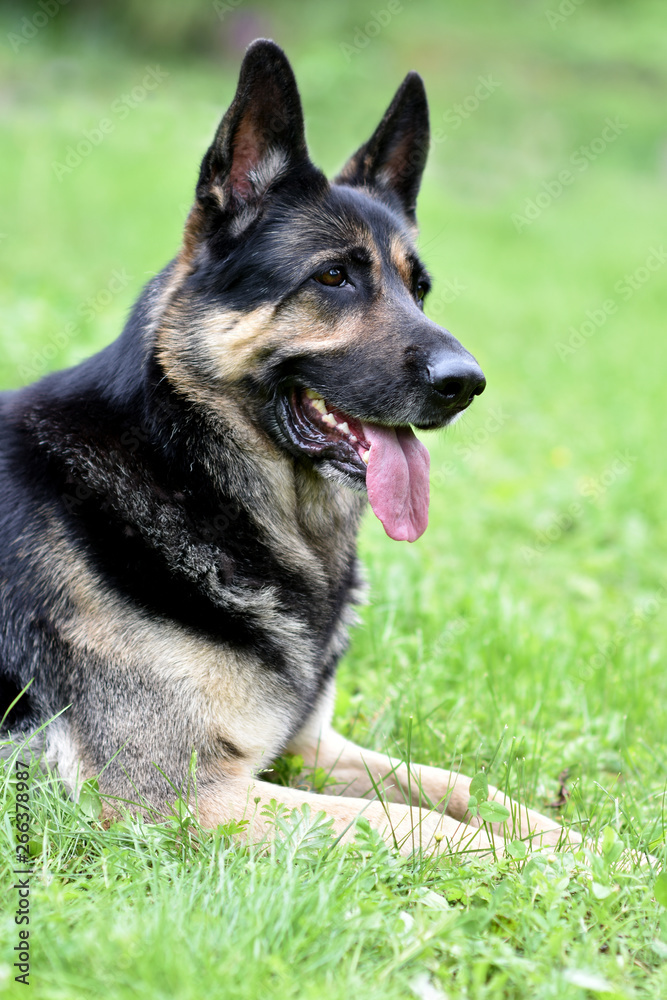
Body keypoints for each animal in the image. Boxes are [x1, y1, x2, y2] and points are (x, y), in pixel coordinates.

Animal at [1, 37, 576, 852]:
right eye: (333, 277)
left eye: (419, 290)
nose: (466, 383)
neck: (190, 474)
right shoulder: (182, 797)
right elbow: (419, 823)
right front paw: (547, 867)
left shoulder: (309, 749)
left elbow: (466, 789)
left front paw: (594, 849)